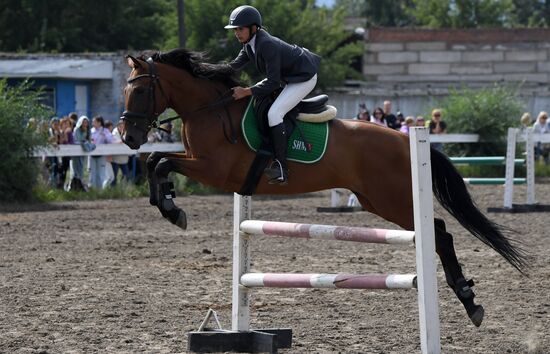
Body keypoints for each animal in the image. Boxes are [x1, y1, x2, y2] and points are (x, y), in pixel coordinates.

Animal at [122, 48, 532, 328]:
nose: (128, 137)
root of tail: (404, 138)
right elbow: (155, 160)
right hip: (375, 201)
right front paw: (166, 202)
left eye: (140, 92)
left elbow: (161, 162)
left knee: (439, 233)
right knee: (439, 232)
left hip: (394, 200)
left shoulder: (216, 171)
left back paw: (469, 300)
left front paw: (173, 209)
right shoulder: (198, 161)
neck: (209, 108)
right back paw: (468, 300)